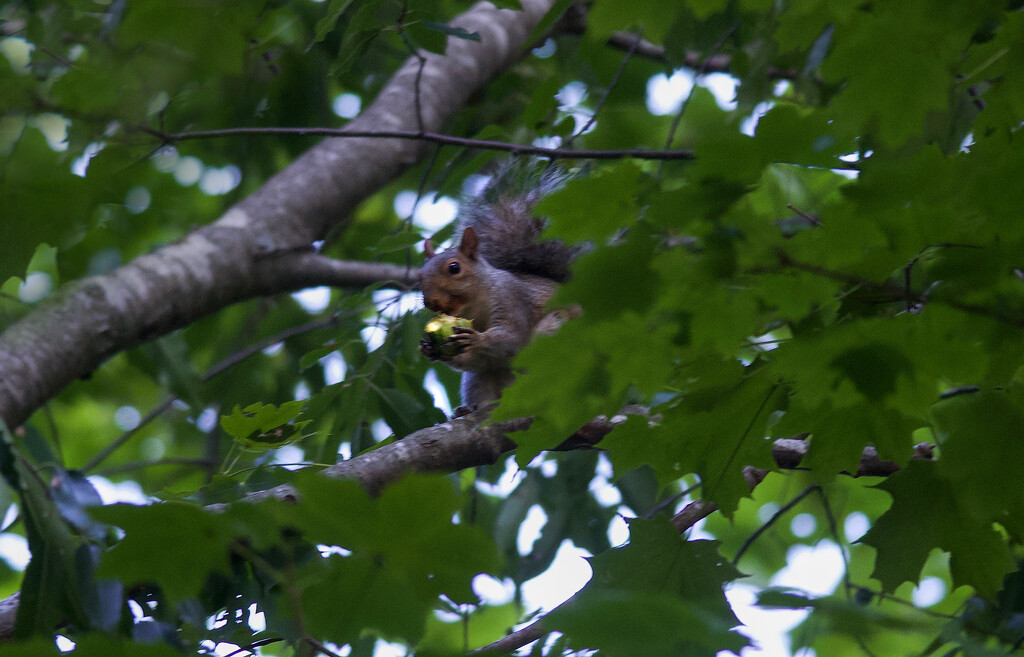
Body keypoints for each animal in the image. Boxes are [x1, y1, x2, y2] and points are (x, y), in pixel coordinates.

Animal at [415, 161, 577, 411]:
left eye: (454, 268)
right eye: (419, 276)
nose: (431, 302)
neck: (475, 307)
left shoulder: (512, 298)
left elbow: (513, 337)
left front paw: (477, 339)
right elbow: (476, 361)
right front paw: (431, 349)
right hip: (480, 382)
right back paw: (468, 409)